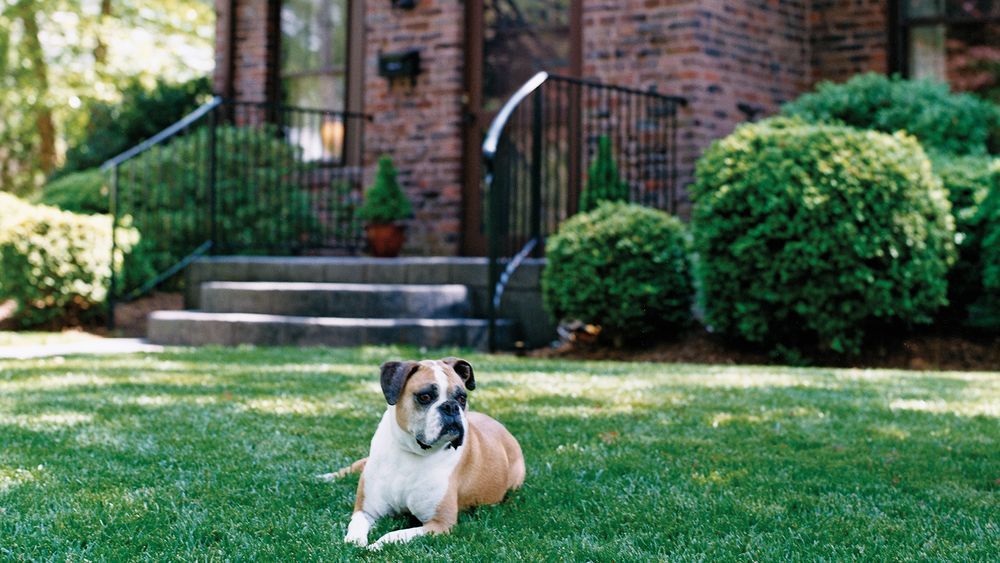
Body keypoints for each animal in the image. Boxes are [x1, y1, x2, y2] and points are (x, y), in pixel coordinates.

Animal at [334, 360, 528, 548]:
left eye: (462, 398)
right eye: (425, 397)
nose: (451, 406)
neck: (410, 451)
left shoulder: (439, 524)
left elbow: (395, 534)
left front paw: (376, 545)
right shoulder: (366, 510)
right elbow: (356, 525)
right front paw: (354, 541)